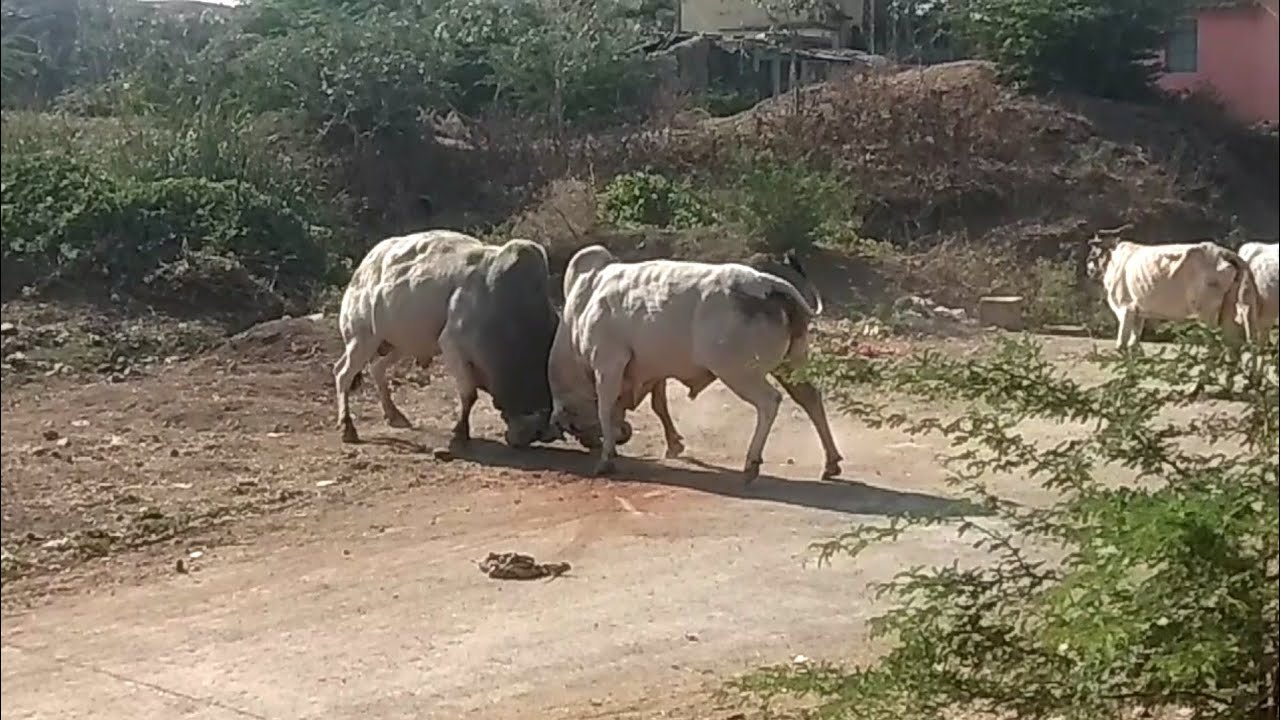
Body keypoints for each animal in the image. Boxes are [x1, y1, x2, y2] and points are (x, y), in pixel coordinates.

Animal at [333, 229, 561, 449]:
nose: (522, 440)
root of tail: (363, 268)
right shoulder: (452, 346)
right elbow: (469, 395)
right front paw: (460, 433)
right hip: (362, 339)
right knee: (343, 374)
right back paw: (347, 427)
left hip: (402, 343)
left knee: (376, 368)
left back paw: (394, 415)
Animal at [547, 244, 843, 483]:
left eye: (574, 425)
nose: (590, 442)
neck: (581, 308)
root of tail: (770, 286)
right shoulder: (653, 370)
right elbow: (659, 405)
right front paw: (673, 444)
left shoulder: (608, 364)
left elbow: (605, 409)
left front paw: (606, 458)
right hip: (791, 364)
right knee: (810, 398)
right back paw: (831, 462)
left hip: (737, 372)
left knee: (769, 402)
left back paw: (751, 464)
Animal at [1085, 227, 1260, 350]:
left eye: (1094, 250)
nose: (1089, 268)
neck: (1114, 259)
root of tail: (1224, 253)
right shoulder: (1139, 313)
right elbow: (1133, 345)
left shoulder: (1125, 309)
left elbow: (1121, 345)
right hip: (1227, 308)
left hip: (1208, 313)